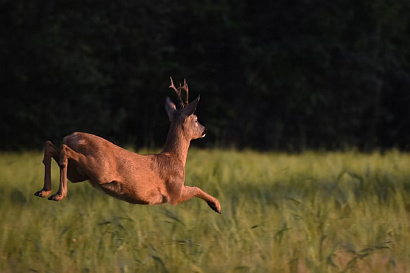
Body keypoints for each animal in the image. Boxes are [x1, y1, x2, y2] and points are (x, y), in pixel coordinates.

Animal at [34, 76, 221, 212]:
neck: (175, 158)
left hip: (79, 173)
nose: (205, 129)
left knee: (51, 146)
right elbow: (196, 188)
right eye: (196, 119)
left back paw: (44, 191)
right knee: (64, 150)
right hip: (100, 168)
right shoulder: (174, 192)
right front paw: (216, 206)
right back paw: (58, 194)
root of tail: (72, 137)